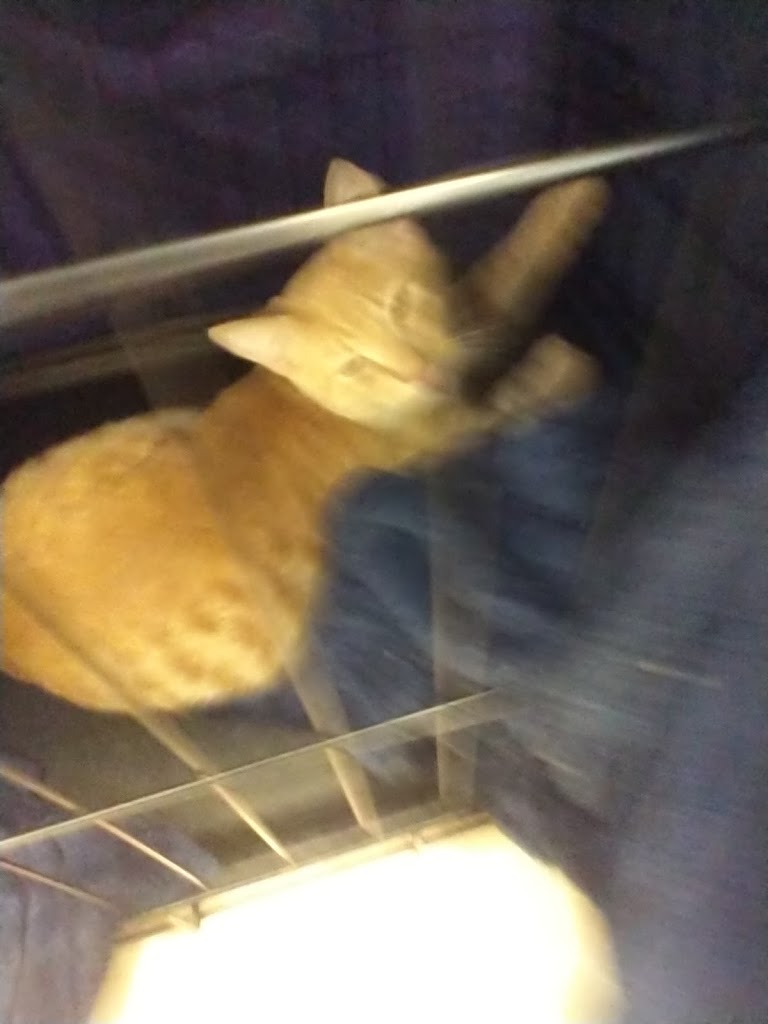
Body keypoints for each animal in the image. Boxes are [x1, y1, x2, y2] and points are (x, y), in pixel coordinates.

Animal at [1, 158, 609, 713]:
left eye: (400, 306)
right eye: (355, 366)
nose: (418, 372)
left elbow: (494, 291)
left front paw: (569, 197)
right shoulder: (453, 446)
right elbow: (514, 366)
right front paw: (561, 360)